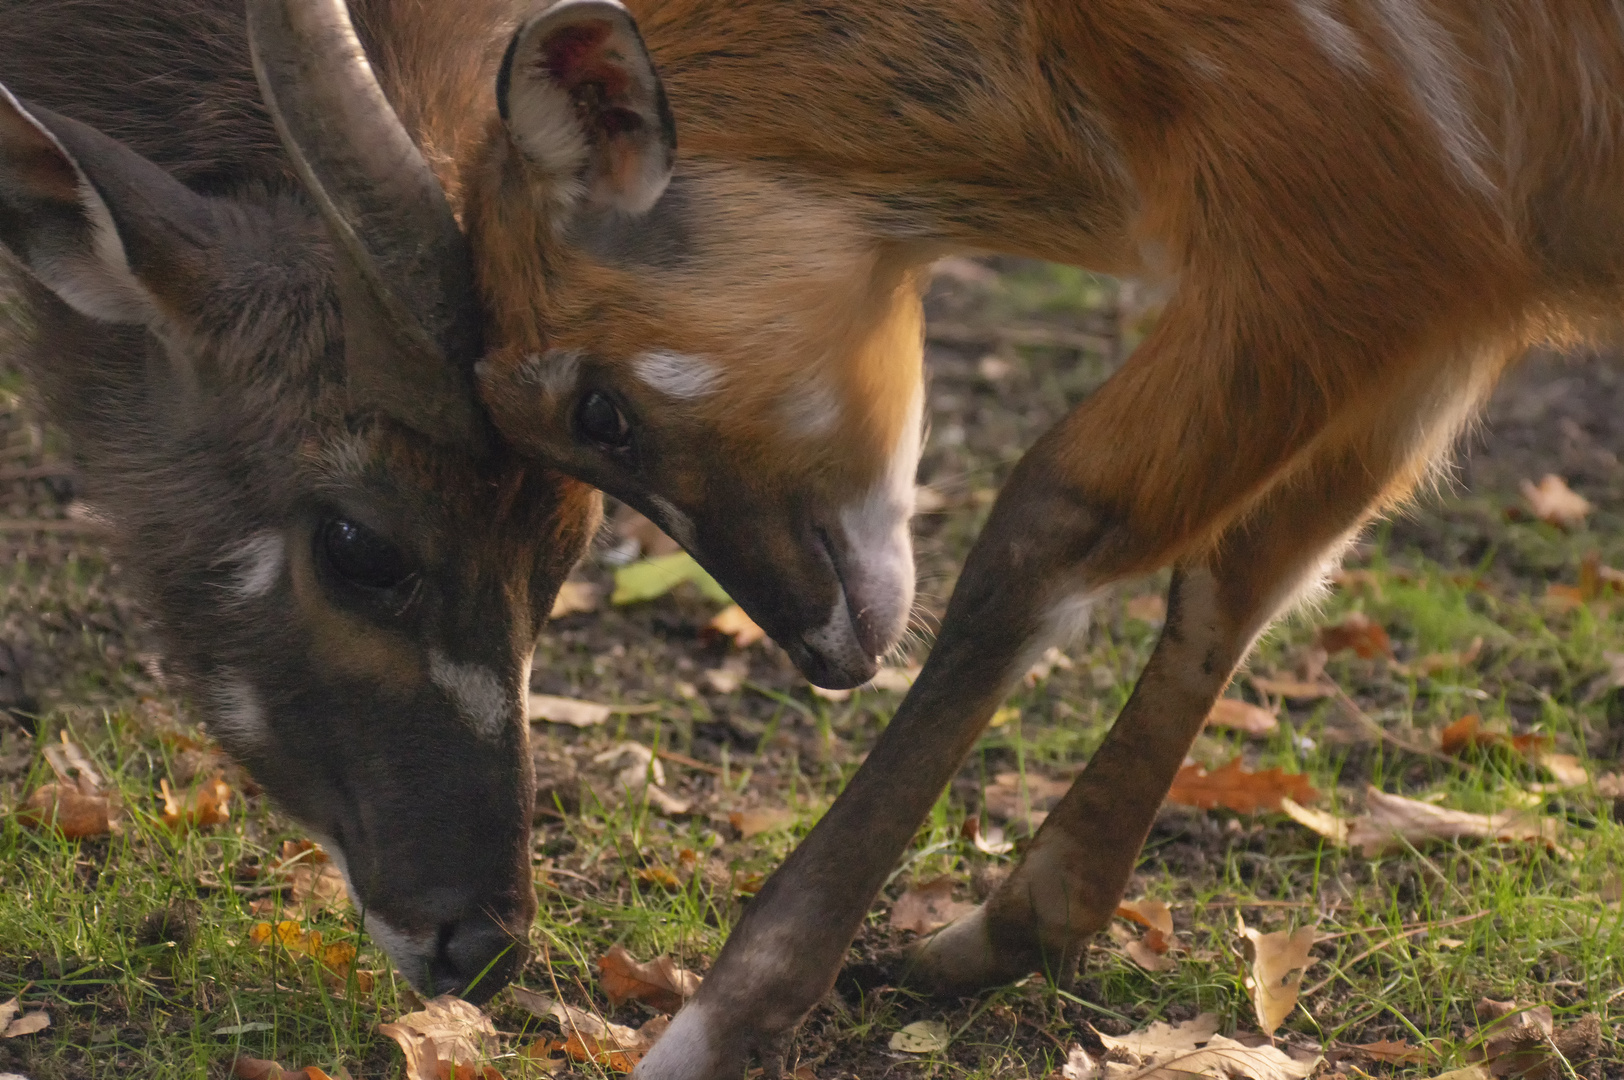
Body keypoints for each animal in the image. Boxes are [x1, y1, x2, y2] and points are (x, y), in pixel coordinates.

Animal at [451, 2, 1624, 1071]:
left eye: (598, 411)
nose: (824, 653)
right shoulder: (1445, 305)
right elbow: (1237, 576)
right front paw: (997, 933)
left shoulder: (1355, 225)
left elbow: (1043, 527)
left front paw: (711, 1028)